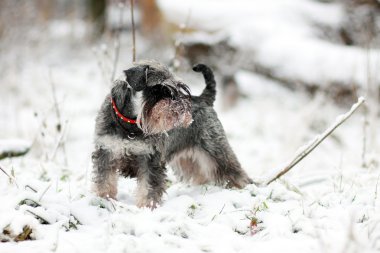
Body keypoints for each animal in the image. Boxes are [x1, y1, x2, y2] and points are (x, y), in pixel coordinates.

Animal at [92, 60, 252, 208]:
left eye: (179, 88)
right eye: (158, 88)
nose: (182, 106)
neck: (130, 124)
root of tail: (204, 98)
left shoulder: (150, 159)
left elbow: (148, 186)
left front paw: (147, 206)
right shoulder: (106, 152)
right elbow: (105, 180)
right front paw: (104, 198)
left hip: (215, 149)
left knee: (233, 170)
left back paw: (244, 188)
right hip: (187, 158)